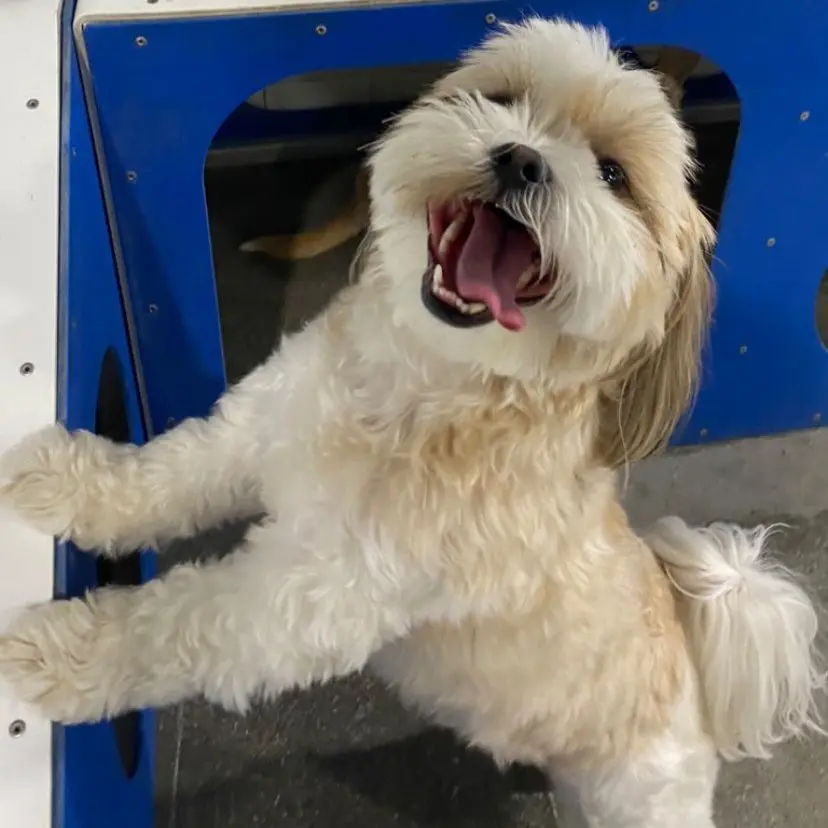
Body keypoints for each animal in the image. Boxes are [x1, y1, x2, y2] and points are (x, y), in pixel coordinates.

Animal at [1, 19, 828, 828]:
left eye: (615, 175)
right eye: (503, 98)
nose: (522, 159)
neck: (422, 389)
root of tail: (705, 688)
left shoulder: (307, 598)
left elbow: (177, 624)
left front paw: (61, 654)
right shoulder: (257, 430)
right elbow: (159, 477)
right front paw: (58, 481)